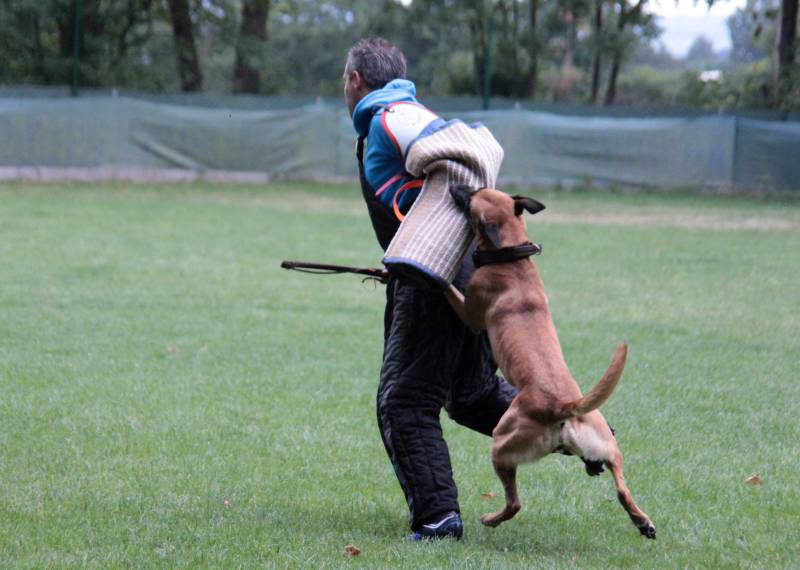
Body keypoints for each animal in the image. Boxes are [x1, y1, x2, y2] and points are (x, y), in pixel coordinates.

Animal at [445, 185, 656, 539]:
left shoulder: (470, 312)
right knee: (622, 488)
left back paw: (491, 518)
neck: (511, 259)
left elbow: (446, 288)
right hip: (609, 447)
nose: (456, 187)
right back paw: (642, 521)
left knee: (514, 503)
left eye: (473, 194)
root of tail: (564, 406)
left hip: (501, 444)